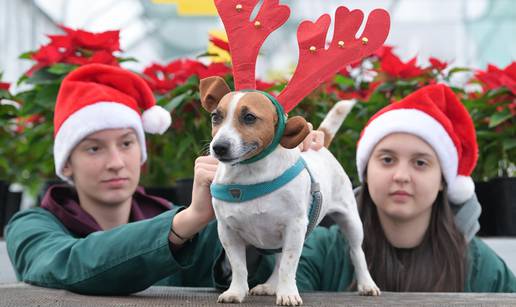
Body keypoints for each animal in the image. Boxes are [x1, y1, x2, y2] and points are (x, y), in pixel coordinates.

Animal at [200, 76, 380, 306]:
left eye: (249, 117)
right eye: (216, 117)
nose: (219, 147)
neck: (250, 175)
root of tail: (321, 146)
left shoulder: (294, 227)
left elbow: (288, 265)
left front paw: (287, 293)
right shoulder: (227, 231)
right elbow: (239, 267)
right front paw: (236, 291)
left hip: (351, 222)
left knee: (357, 252)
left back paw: (367, 284)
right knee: (278, 261)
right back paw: (269, 286)